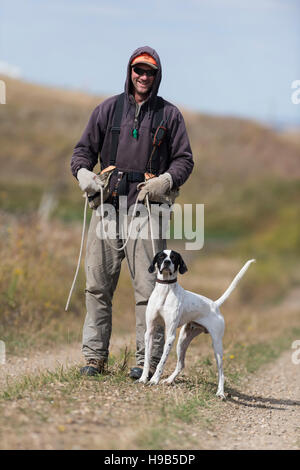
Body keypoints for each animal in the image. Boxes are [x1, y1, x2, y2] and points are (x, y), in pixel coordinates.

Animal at [138, 248, 255, 398]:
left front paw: (154, 380)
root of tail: (215, 304)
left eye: (173, 257)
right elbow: (147, 359)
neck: (165, 291)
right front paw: (143, 378)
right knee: (181, 364)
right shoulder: (150, 331)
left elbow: (162, 362)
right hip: (182, 341)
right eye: (161, 256)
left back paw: (220, 392)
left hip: (217, 346)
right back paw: (169, 380)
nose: (167, 262)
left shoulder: (170, 335)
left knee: (221, 372)